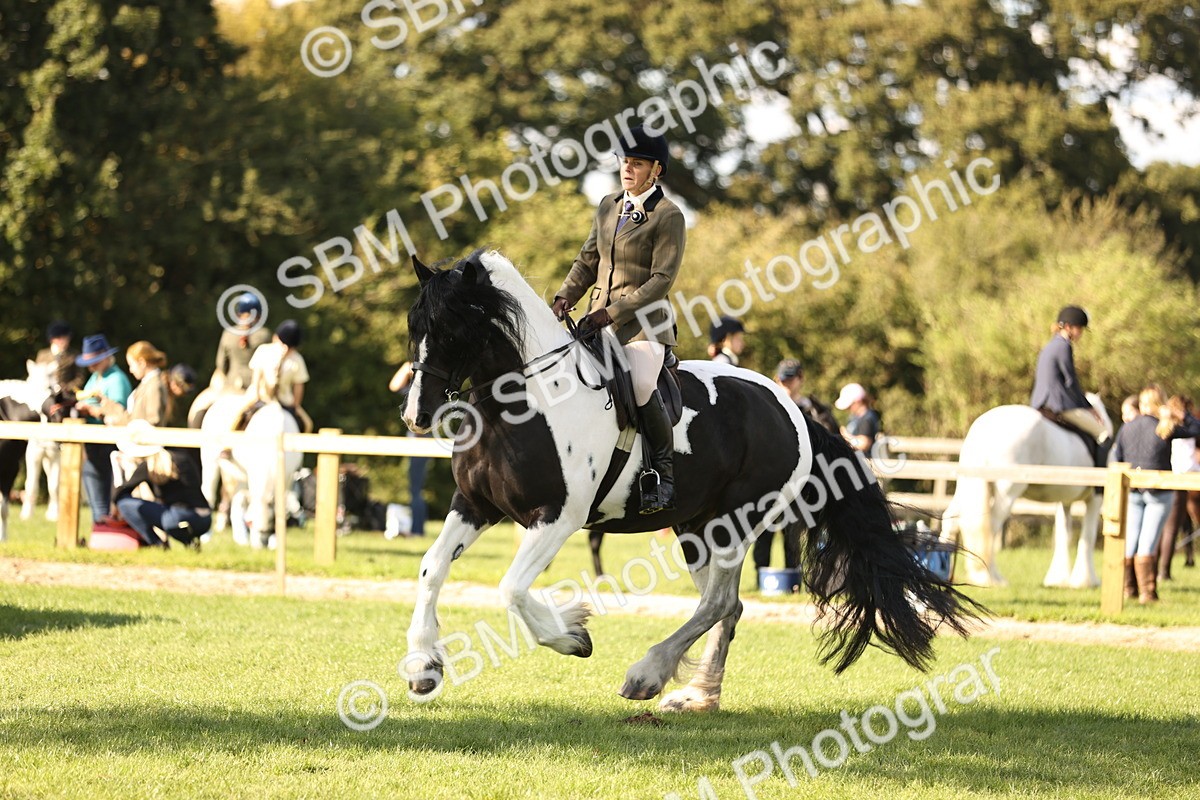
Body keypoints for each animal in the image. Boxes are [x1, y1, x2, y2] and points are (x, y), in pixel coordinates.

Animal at [399, 250, 977, 711]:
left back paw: (647, 674)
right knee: (726, 606)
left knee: (718, 603)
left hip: (734, 522)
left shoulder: (558, 517)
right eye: (414, 326)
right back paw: (698, 695)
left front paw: (573, 636)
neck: (526, 404)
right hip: (695, 528)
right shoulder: (473, 504)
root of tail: (790, 407)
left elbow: (512, 589)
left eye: (451, 330)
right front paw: (423, 665)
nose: (415, 416)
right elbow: (431, 569)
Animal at [940, 394, 1113, 588]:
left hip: (967, 486)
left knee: (951, 519)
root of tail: (984, 429)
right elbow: (1088, 536)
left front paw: (1059, 578)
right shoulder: (1096, 498)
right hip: (1007, 492)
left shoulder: (1065, 500)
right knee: (991, 527)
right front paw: (1086, 580)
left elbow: (1063, 535)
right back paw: (993, 578)